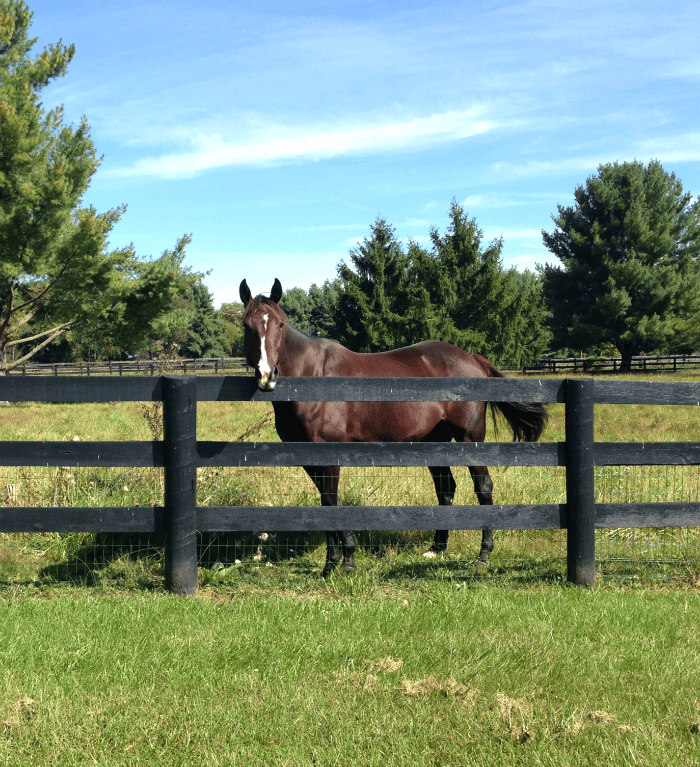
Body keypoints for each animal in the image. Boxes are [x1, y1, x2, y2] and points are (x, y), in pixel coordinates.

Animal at [239, 278, 548, 576]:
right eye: (246, 325)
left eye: (280, 324)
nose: (266, 376)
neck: (313, 375)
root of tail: (472, 359)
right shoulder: (308, 457)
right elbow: (329, 501)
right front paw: (343, 557)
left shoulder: (329, 454)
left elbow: (329, 502)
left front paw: (338, 562)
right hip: (434, 442)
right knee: (446, 488)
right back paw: (437, 548)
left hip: (469, 438)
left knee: (483, 487)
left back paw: (483, 555)